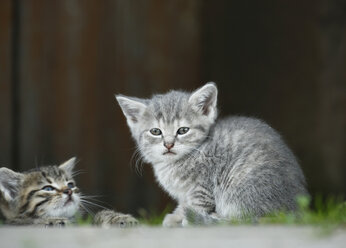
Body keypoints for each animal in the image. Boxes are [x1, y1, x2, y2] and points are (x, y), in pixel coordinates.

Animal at [115, 82, 308, 226]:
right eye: (155, 131)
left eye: (183, 130)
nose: (168, 144)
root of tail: (296, 211)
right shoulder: (185, 193)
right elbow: (184, 203)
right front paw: (176, 216)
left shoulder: (202, 185)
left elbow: (197, 204)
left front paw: (187, 218)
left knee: (247, 220)